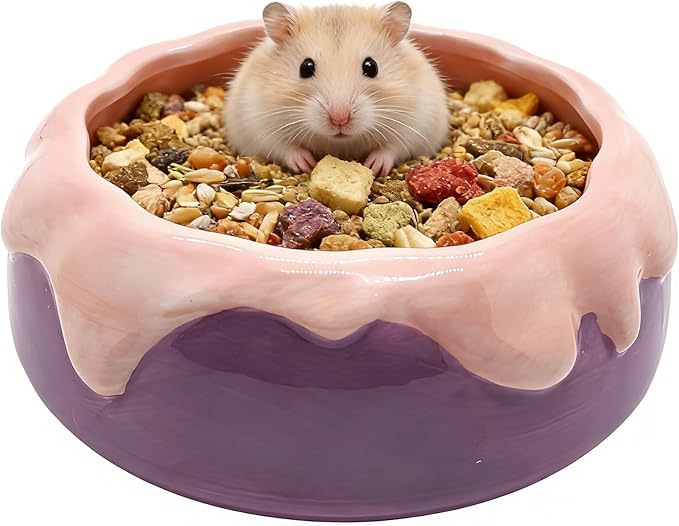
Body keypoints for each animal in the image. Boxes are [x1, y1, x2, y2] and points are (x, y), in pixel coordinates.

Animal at [224, 2, 449, 177]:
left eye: (371, 66)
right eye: (305, 67)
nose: (340, 119)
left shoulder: (418, 123)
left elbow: (392, 147)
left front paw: (373, 166)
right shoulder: (257, 123)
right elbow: (284, 146)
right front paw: (306, 164)